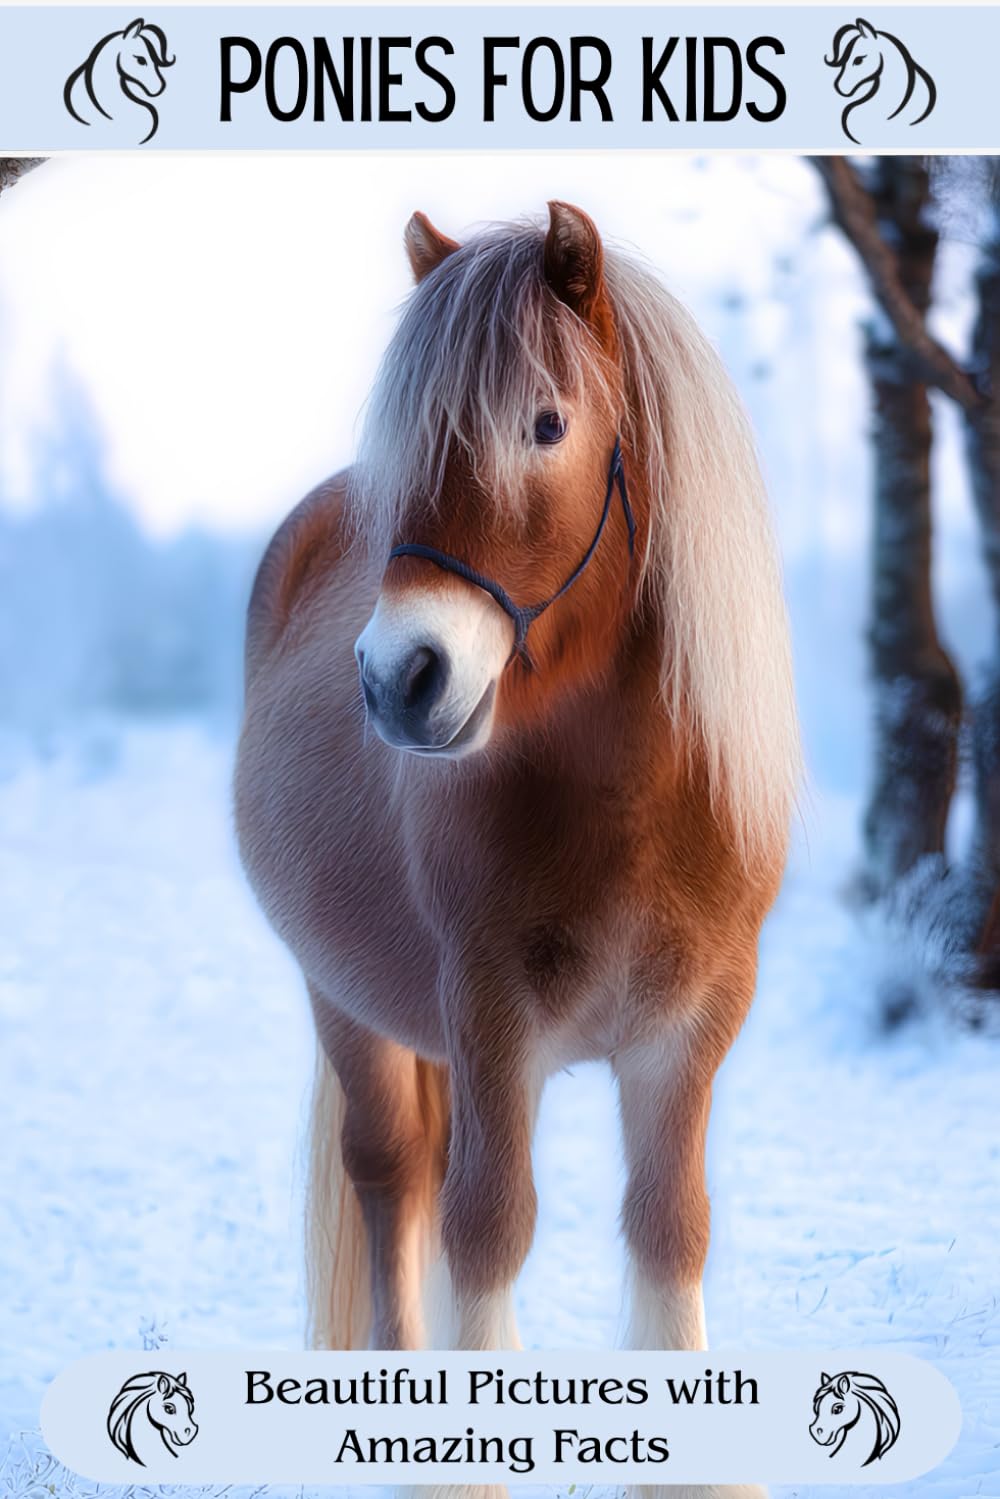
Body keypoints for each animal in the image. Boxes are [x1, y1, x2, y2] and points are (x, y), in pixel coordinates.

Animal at [235, 201, 800, 1499]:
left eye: (546, 424)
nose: (401, 676)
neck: (631, 810)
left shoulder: (687, 1034)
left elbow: (669, 1226)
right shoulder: (492, 1021)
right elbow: (486, 1230)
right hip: (344, 1003)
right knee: (395, 1181)